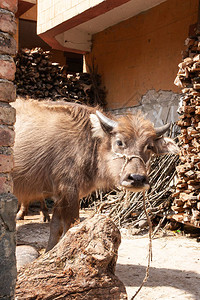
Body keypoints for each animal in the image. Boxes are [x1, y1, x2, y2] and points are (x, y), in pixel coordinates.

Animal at [12, 99, 178, 251]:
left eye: (149, 146)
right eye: (119, 142)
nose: (137, 179)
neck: (90, 144)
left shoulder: (61, 195)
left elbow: (55, 227)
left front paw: (49, 252)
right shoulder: (69, 191)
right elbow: (71, 227)